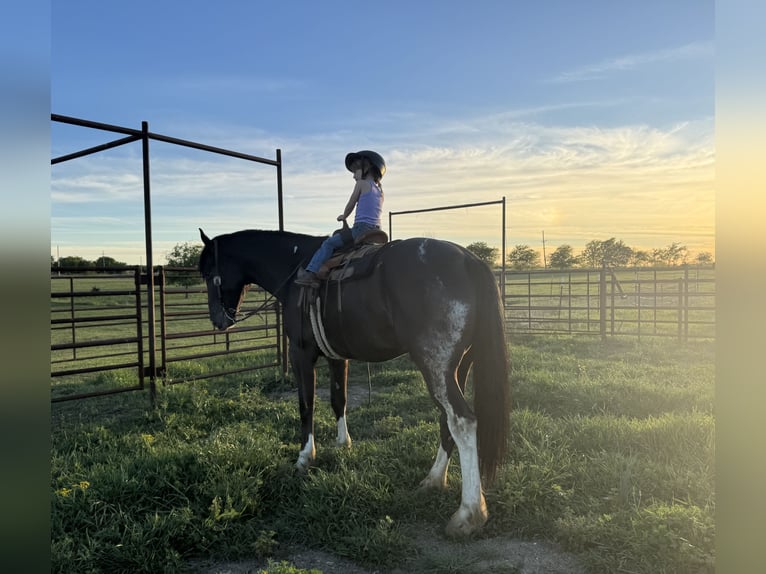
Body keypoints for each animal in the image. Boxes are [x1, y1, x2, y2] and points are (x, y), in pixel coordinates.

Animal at [198, 227, 510, 537]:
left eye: (208, 272)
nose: (217, 321)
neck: (294, 268)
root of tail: (469, 260)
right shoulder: (337, 357)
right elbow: (339, 400)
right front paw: (342, 444)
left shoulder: (300, 353)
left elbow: (306, 405)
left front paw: (304, 458)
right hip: (457, 366)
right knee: (447, 420)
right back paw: (433, 480)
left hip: (435, 364)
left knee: (462, 421)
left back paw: (468, 514)